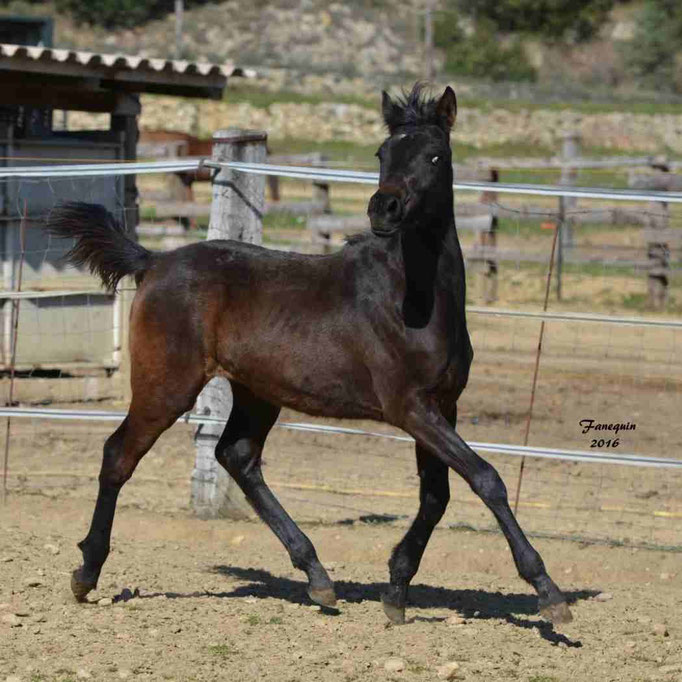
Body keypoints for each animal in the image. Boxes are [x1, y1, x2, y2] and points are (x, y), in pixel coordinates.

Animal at [46, 86, 568, 628]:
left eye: (434, 155)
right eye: (382, 153)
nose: (384, 208)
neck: (413, 297)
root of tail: (153, 261)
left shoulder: (444, 405)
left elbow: (436, 496)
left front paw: (397, 590)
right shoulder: (409, 407)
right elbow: (486, 478)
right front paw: (548, 592)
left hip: (257, 392)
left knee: (237, 456)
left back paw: (318, 577)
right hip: (167, 384)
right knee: (119, 455)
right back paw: (86, 574)